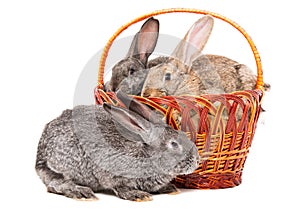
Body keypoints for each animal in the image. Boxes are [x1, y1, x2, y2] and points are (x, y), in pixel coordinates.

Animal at [34, 90, 199, 202]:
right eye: (174, 144)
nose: (197, 161)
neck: (146, 155)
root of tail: (40, 154)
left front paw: (169, 188)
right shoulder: (111, 172)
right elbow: (119, 186)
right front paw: (137, 195)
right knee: (55, 183)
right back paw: (80, 192)